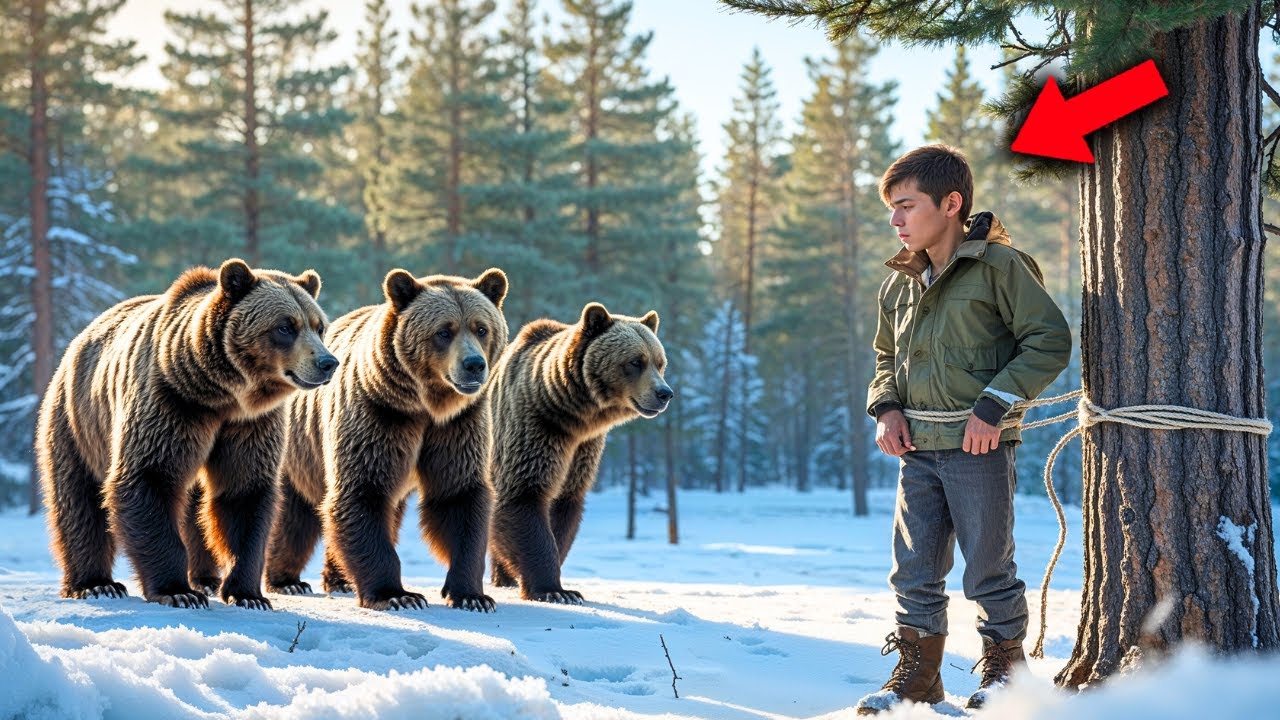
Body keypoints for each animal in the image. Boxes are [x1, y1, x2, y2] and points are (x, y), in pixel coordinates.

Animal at [37, 258, 337, 610]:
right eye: (285, 327)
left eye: (318, 326)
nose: (328, 362)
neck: (221, 395)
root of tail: (79, 340)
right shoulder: (171, 405)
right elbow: (149, 477)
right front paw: (177, 591)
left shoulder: (250, 425)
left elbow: (243, 493)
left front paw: (248, 594)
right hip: (77, 423)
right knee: (79, 500)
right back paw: (96, 584)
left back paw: (206, 579)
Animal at [264, 268, 509, 612]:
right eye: (443, 332)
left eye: (481, 328)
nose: (474, 364)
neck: (426, 405)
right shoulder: (379, 415)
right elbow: (362, 493)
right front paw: (397, 594)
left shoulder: (457, 426)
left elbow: (458, 496)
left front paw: (472, 595)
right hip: (298, 449)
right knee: (292, 515)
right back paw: (287, 580)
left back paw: (339, 579)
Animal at [488, 302, 673, 603]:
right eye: (635, 361)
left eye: (660, 362)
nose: (664, 393)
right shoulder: (535, 430)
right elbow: (525, 494)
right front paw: (552, 589)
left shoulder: (583, 450)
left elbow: (565, 508)